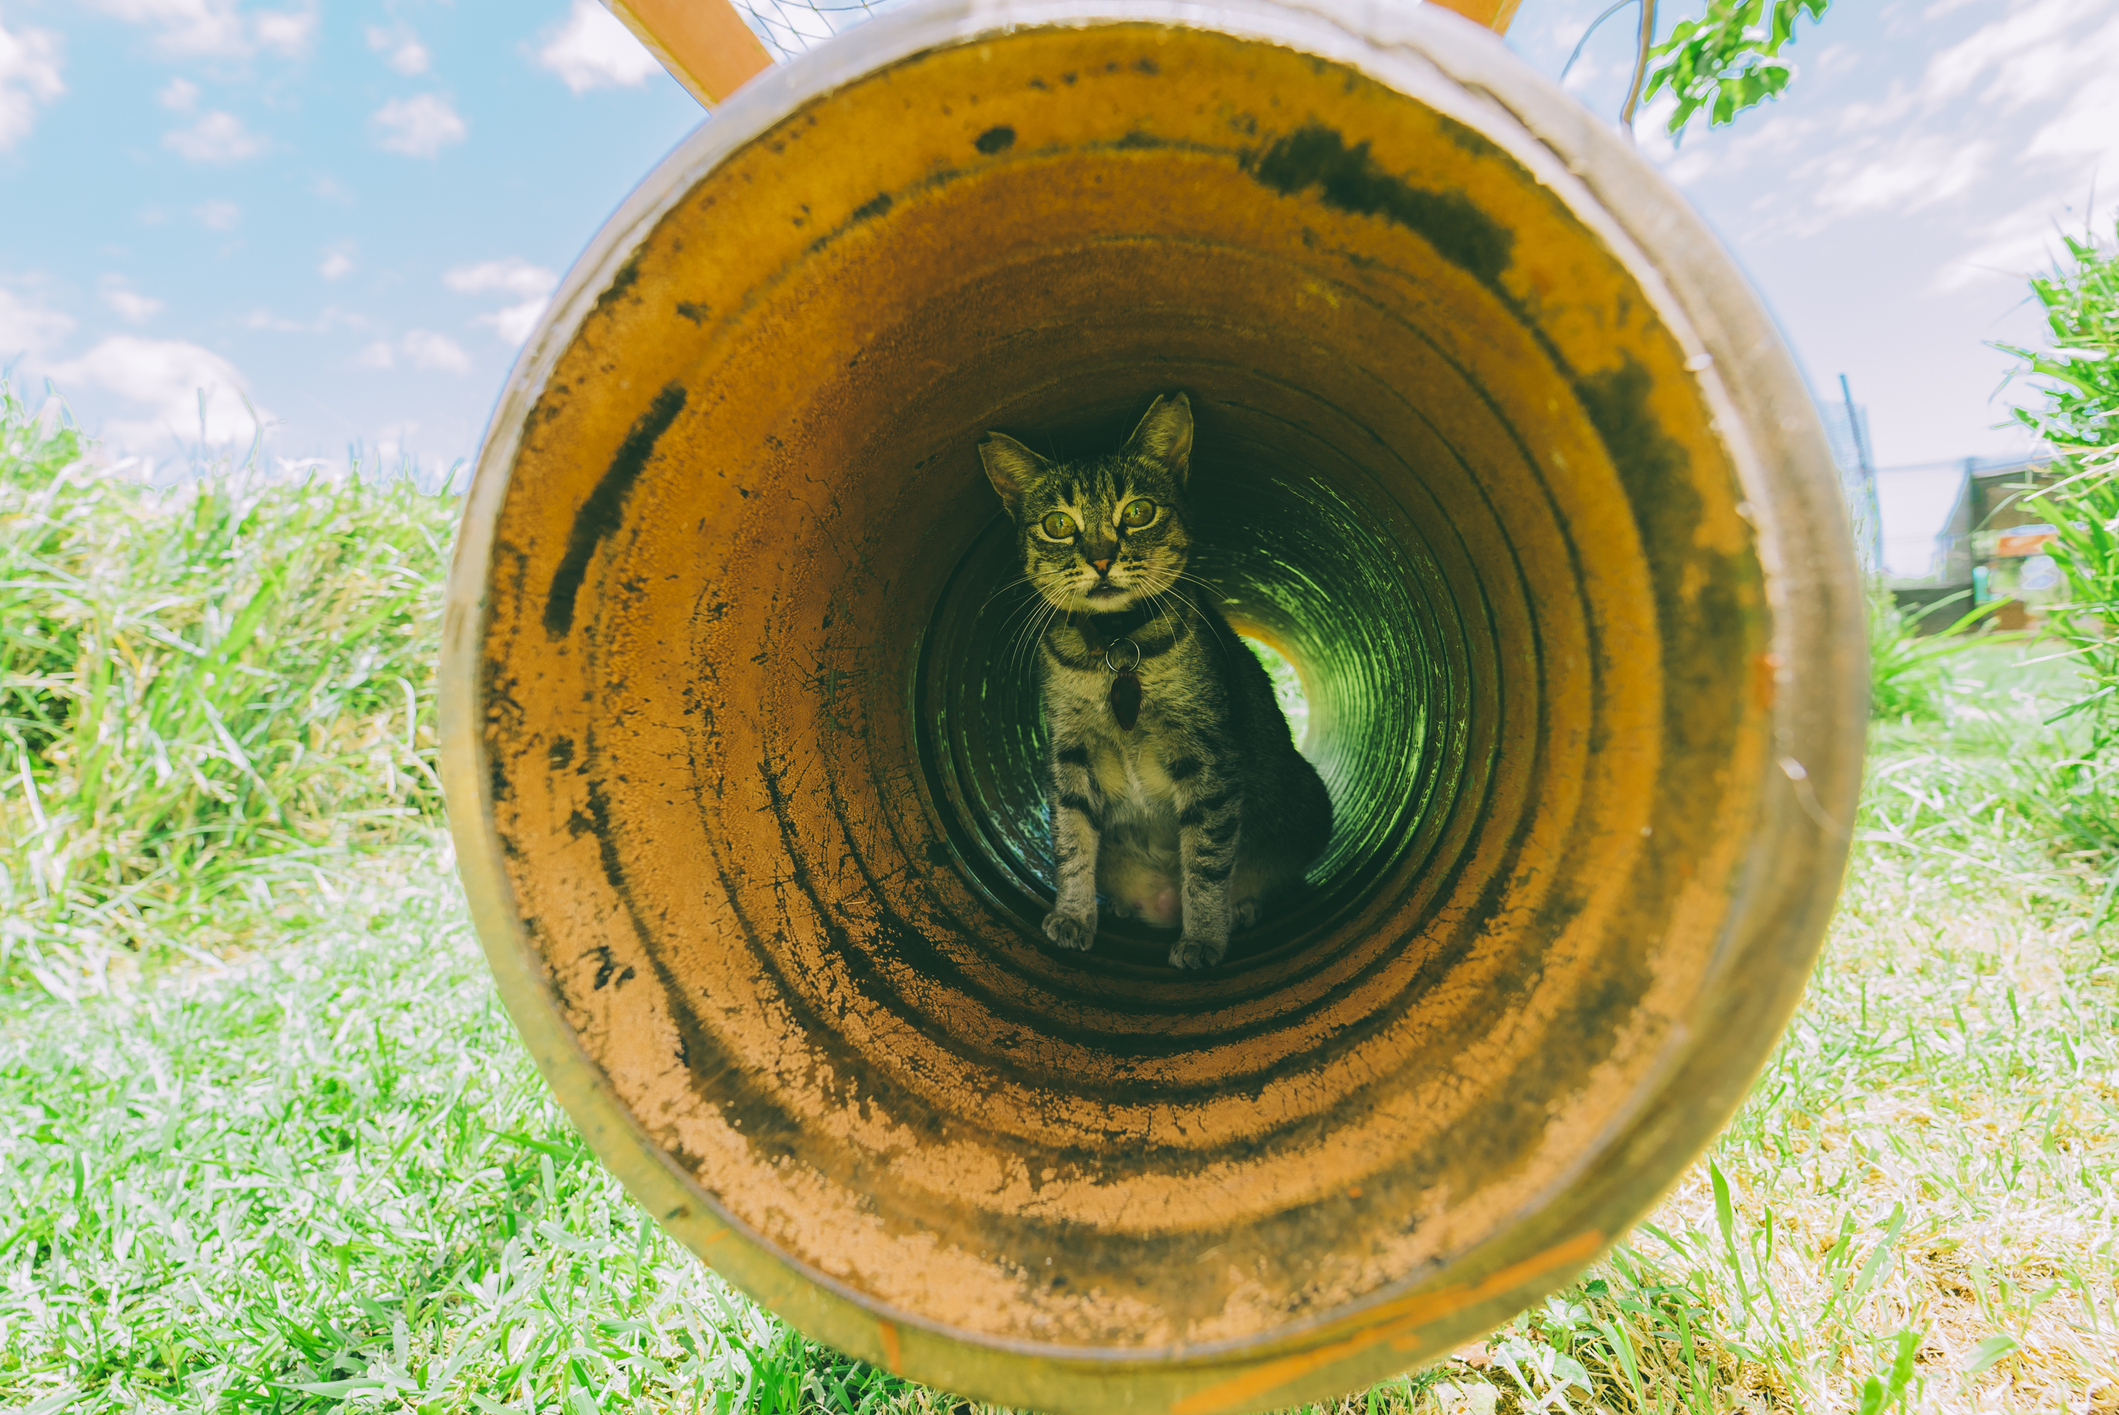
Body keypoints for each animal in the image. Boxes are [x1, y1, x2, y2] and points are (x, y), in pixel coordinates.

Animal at [970, 398, 1322, 974]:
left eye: (1137, 512)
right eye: (1057, 524)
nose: (1100, 558)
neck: (1116, 647)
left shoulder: (1208, 757)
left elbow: (1206, 860)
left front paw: (1204, 938)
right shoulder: (1069, 753)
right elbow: (1071, 842)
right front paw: (1073, 915)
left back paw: (1243, 908)